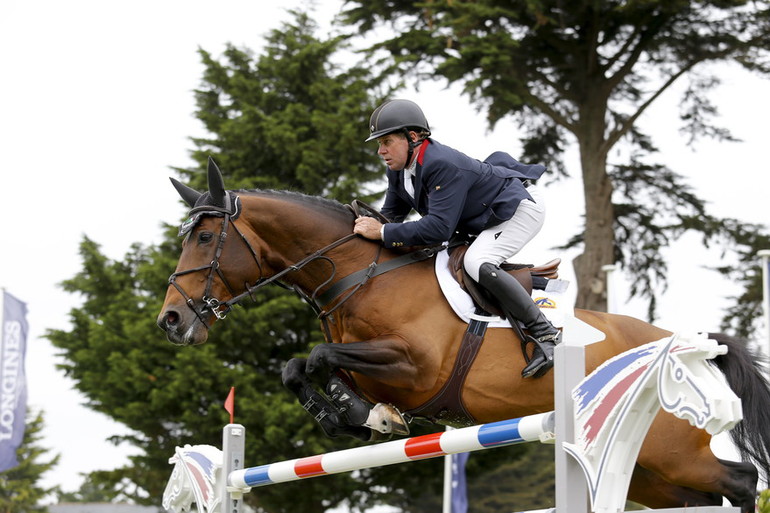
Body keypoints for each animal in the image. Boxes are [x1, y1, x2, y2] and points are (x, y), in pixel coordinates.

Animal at [156, 158, 768, 510]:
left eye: (205, 237)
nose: (171, 321)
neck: (358, 273)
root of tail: (682, 345)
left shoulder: (415, 367)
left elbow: (319, 354)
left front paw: (362, 415)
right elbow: (299, 366)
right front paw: (353, 415)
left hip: (671, 454)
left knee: (742, 482)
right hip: (651, 474)